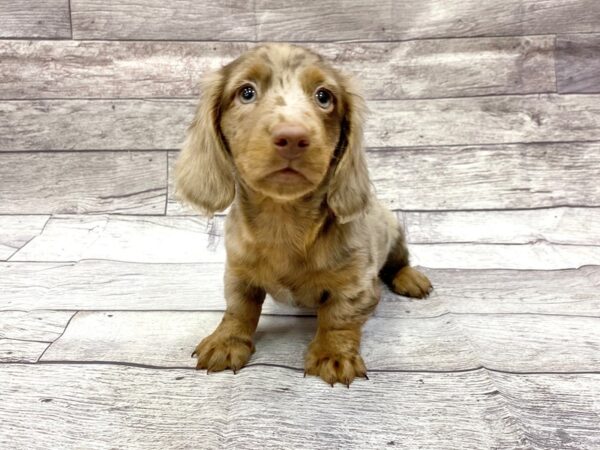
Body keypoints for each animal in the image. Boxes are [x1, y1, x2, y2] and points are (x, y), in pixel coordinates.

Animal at [176, 43, 434, 386]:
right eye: (246, 92)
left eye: (324, 96)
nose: (293, 137)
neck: (284, 219)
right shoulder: (238, 272)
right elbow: (239, 308)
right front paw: (227, 340)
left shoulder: (356, 284)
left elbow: (338, 316)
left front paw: (333, 354)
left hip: (394, 231)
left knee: (398, 262)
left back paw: (410, 277)